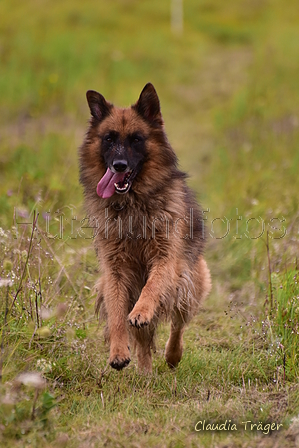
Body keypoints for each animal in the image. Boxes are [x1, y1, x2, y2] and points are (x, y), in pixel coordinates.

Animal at [78, 82, 212, 372]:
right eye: (109, 139)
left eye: (136, 139)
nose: (118, 165)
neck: (133, 204)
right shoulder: (115, 271)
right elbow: (118, 315)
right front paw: (118, 352)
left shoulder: (165, 259)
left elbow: (153, 286)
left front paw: (141, 311)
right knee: (142, 343)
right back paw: (145, 372)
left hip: (191, 283)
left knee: (177, 325)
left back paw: (172, 356)